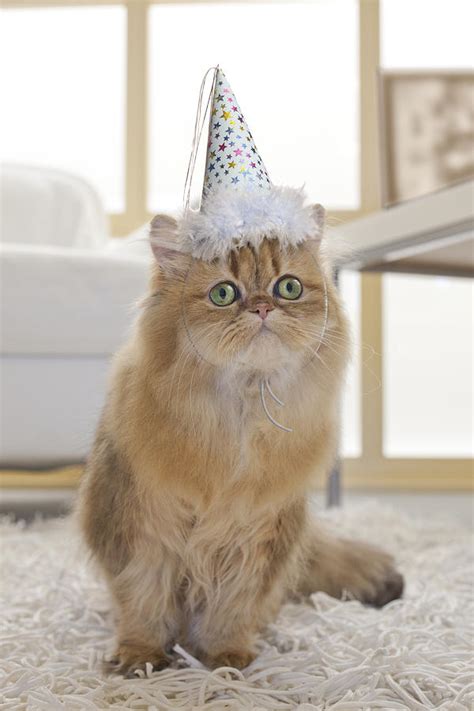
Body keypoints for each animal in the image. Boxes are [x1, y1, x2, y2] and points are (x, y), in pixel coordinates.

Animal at [78, 207, 404, 680]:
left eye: (288, 287)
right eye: (223, 294)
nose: (263, 307)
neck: (242, 410)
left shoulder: (256, 532)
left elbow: (233, 605)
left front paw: (227, 659)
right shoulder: (145, 526)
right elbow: (144, 599)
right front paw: (141, 658)